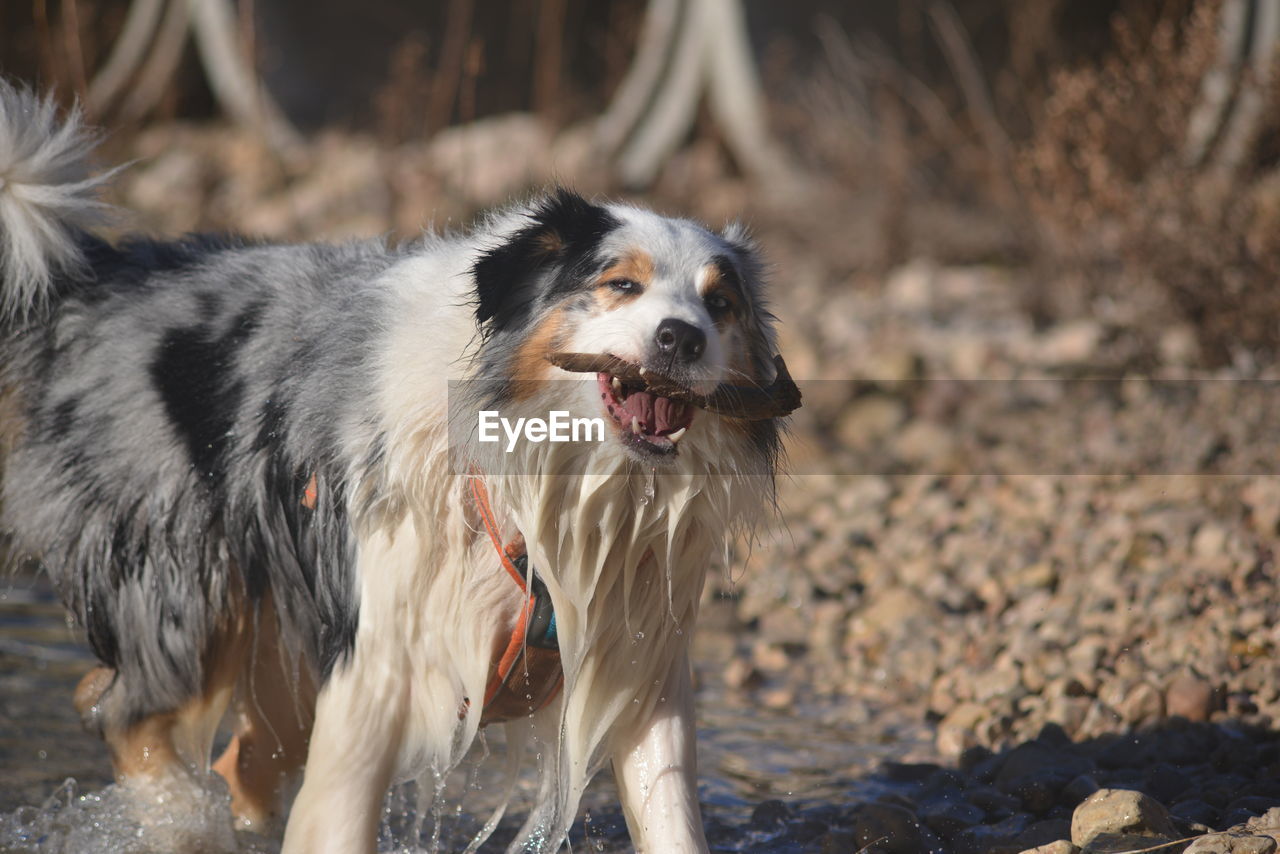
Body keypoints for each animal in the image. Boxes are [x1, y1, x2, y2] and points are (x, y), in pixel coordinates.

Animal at [0, 81, 793, 854]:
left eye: (721, 303)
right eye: (621, 283)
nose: (682, 338)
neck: (540, 479)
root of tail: (103, 273)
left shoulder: (641, 667)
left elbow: (672, 816)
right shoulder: (376, 667)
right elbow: (336, 820)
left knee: (242, 759)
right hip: (183, 586)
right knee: (122, 712)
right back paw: (179, 822)